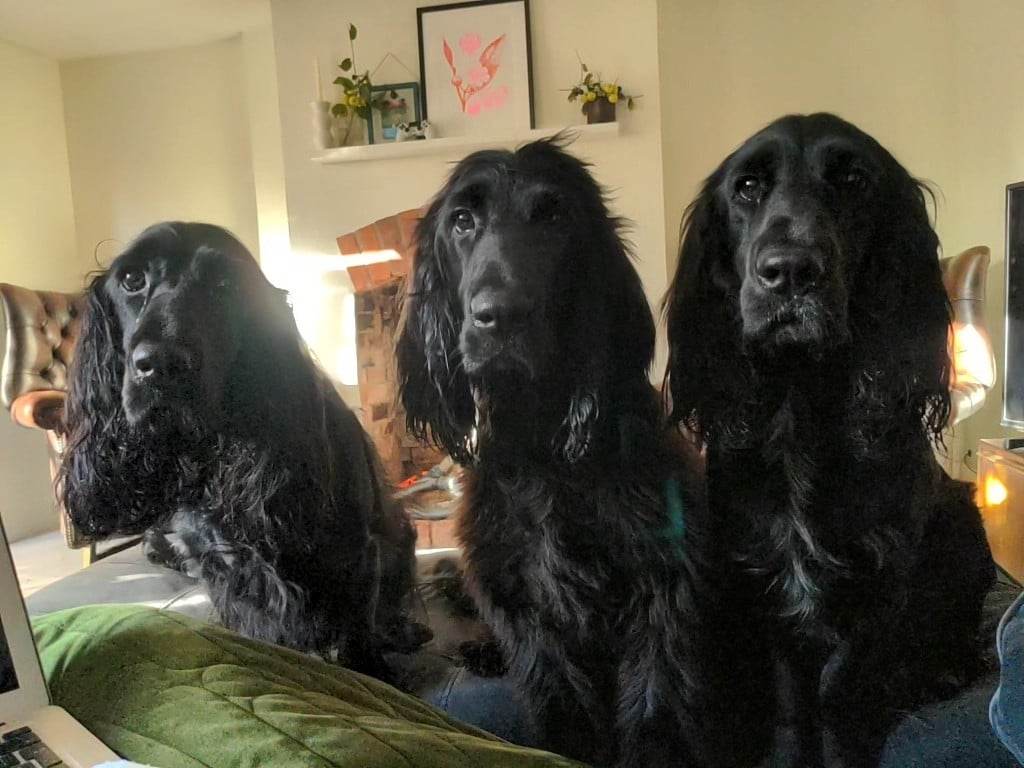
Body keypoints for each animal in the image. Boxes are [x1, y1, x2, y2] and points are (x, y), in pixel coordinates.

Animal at [59, 222, 428, 671]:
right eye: (131, 279)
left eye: (226, 284)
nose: (162, 364)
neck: (216, 455)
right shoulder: (226, 571)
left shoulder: (356, 551)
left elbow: (358, 640)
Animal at [395, 140, 741, 768]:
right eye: (462, 221)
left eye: (554, 217)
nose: (500, 315)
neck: (546, 449)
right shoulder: (528, 605)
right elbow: (560, 707)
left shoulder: (664, 592)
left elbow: (657, 706)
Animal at [663, 115, 991, 768]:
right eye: (746, 187)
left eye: (853, 180)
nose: (789, 271)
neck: (803, 406)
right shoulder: (764, 579)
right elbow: (796, 700)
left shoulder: (884, 577)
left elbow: (841, 687)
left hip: (963, 525)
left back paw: (946, 669)